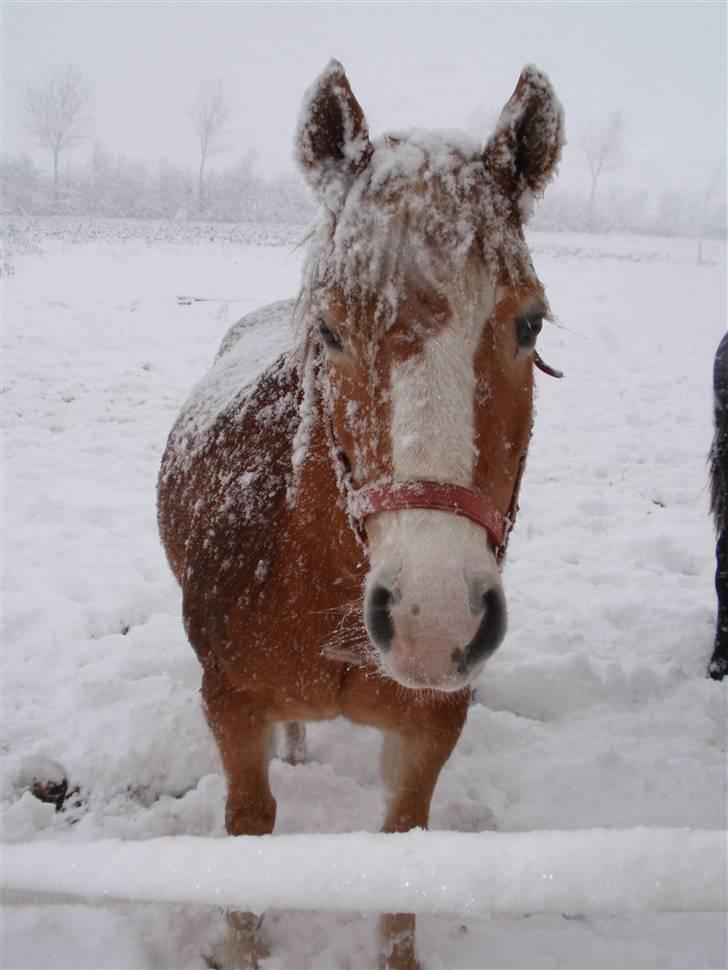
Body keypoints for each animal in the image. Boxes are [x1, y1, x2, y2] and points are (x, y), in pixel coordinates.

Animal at [159, 62, 564, 968]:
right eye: (331, 329)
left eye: (530, 323)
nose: (431, 617)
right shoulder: (230, 707)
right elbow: (249, 841)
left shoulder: (429, 733)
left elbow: (399, 875)